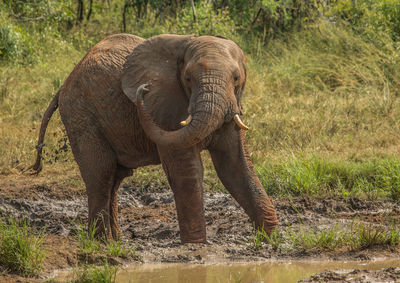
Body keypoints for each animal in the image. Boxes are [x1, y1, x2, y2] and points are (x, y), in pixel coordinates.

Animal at [29, 33, 278, 244]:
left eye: (236, 78)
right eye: (188, 79)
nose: (144, 89)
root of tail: (65, 84)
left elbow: (235, 166)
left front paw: (270, 239)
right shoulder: (166, 107)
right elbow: (187, 171)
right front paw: (195, 246)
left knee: (114, 179)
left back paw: (117, 241)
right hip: (80, 114)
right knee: (101, 172)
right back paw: (102, 243)